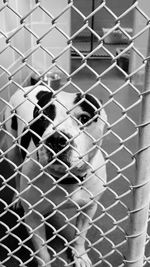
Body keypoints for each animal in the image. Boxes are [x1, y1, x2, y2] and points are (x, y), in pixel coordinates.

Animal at [1, 86, 107, 267]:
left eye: (84, 118)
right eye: (42, 117)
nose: (57, 139)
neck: (65, 179)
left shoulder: (89, 208)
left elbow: (80, 235)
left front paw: (80, 255)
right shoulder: (33, 217)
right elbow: (42, 252)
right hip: (12, 151)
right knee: (16, 174)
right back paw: (17, 198)